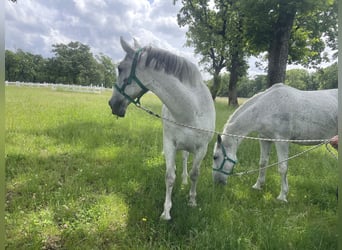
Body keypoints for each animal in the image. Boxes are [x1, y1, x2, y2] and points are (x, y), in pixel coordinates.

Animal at [109, 37, 215, 221]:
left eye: (120, 68)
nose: (112, 104)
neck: (191, 110)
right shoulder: (170, 143)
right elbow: (170, 177)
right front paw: (166, 212)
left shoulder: (202, 148)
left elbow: (195, 174)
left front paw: (192, 201)